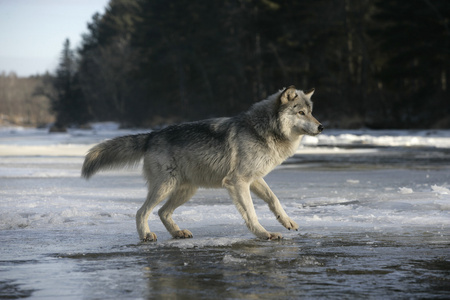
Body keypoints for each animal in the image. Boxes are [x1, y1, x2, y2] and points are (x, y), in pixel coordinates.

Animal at [82, 85, 324, 240]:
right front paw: (264, 234)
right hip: (165, 187)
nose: (322, 126)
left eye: (312, 112)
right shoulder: (238, 182)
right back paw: (146, 235)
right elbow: (251, 213)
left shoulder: (254, 179)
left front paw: (287, 222)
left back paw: (178, 233)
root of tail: (152, 134)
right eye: (301, 112)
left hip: (187, 191)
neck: (262, 130)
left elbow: (274, 200)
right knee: (142, 212)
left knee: (162, 212)